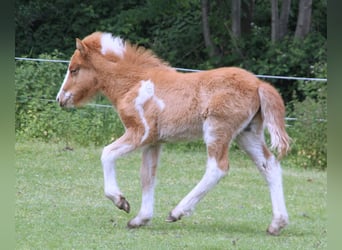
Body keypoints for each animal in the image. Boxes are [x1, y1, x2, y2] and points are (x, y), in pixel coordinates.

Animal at [56, 31, 292, 236]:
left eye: (74, 69)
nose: (60, 99)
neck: (134, 82)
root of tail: (258, 83)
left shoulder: (141, 132)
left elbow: (107, 154)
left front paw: (120, 201)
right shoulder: (153, 142)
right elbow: (147, 177)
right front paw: (140, 219)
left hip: (217, 130)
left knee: (217, 168)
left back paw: (177, 211)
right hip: (247, 134)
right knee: (269, 165)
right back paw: (277, 224)